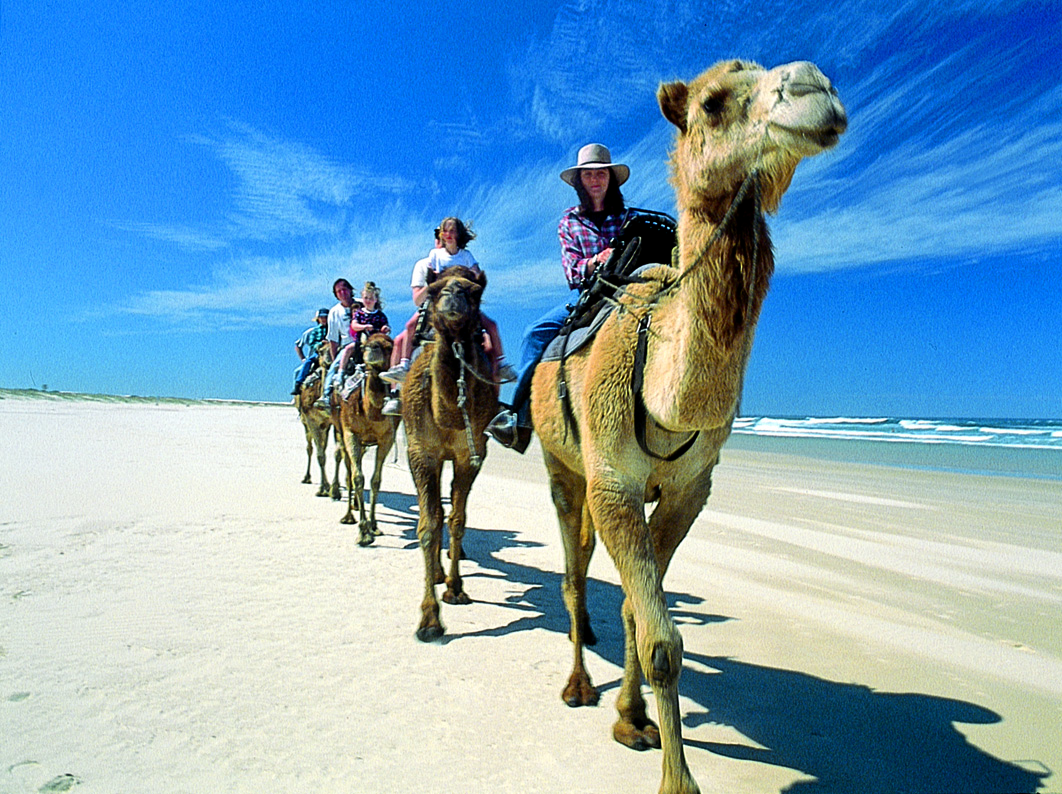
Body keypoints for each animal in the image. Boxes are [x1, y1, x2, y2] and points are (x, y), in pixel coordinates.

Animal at [295, 341, 335, 496]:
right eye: (321, 351)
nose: (328, 361)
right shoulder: (311, 421)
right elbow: (320, 455)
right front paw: (323, 488)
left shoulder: (328, 424)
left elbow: (324, 451)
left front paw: (328, 487)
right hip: (305, 423)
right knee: (310, 448)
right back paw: (306, 477)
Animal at [335, 331, 399, 547]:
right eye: (364, 346)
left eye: (390, 346)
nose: (372, 350)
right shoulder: (351, 434)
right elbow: (358, 477)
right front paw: (363, 533)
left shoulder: (386, 439)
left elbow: (375, 480)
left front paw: (374, 525)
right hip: (342, 434)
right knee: (348, 471)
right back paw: (348, 516)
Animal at [401, 263, 497, 641]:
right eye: (432, 289)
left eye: (475, 292)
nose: (452, 294)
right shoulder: (421, 452)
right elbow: (428, 525)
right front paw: (429, 621)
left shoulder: (471, 454)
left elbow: (458, 520)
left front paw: (456, 589)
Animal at [528, 58, 845, 789]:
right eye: (713, 102)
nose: (816, 89)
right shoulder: (612, 481)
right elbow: (661, 639)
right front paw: (677, 776)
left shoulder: (688, 489)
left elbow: (638, 612)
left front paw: (633, 721)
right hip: (562, 465)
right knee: (571, 572)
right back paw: (576, 685)